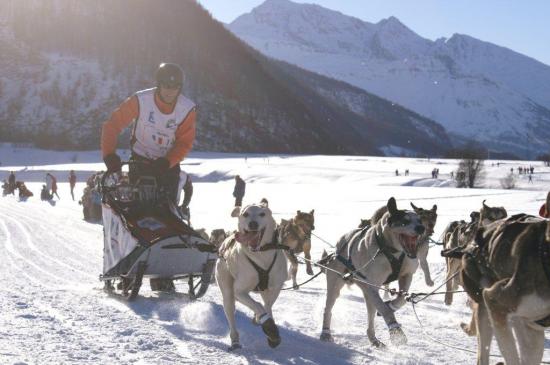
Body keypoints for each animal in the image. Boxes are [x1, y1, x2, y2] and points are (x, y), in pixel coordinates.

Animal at [217, 199, 288, 350]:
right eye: (245, 214)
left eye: (262, 214)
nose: (253, 224)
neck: (260, 253)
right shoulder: (239, 291)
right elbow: (258, 305)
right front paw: (268, 325)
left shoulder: (275, 287)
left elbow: (267, 305)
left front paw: (262, 321)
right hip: (227, 292)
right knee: (231, 315)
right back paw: (235, 341)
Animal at [322, 198, 430, 346]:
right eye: (405, 221)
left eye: (420, 220)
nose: (421, 228)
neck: (390, 250)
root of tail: (339, 244)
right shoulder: (372, 286)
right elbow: (385, 310)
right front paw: (396, 332)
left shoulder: (406, 275)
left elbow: (400, 299)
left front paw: (391, 305)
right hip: (336, 286)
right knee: (328, 309)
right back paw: (325, 333)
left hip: (367, 293)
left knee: (371, 315)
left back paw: (373, 339)